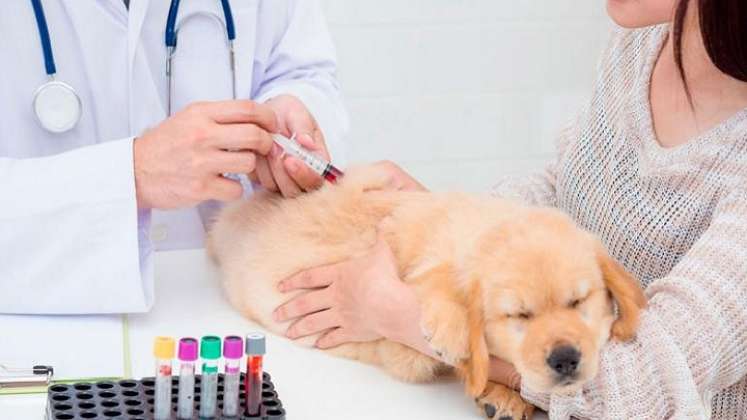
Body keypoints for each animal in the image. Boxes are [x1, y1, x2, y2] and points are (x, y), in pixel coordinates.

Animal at [207, 164, 644, 420]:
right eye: (520, 316)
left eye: (579, 302)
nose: (566, 359)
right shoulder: (407, 340)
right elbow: (438, 283)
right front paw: (455, 337)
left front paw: (503, 394)